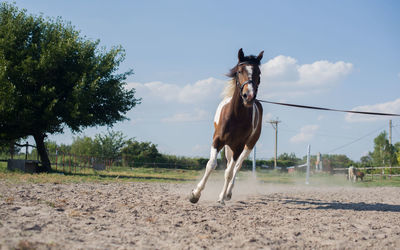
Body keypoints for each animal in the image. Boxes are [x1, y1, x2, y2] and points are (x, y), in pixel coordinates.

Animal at [190, 48, 264, 205]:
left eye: (259, 73)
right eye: (239, 71)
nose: (249, 96)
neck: (236, 115)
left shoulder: (238, 146)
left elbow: (229, 172)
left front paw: (221, 198)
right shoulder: (217, 140)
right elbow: (211, 164)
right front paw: (195, 194)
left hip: (248, 145)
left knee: (236, 166)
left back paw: (227, 194)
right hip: (228, 147)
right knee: (231, 164)